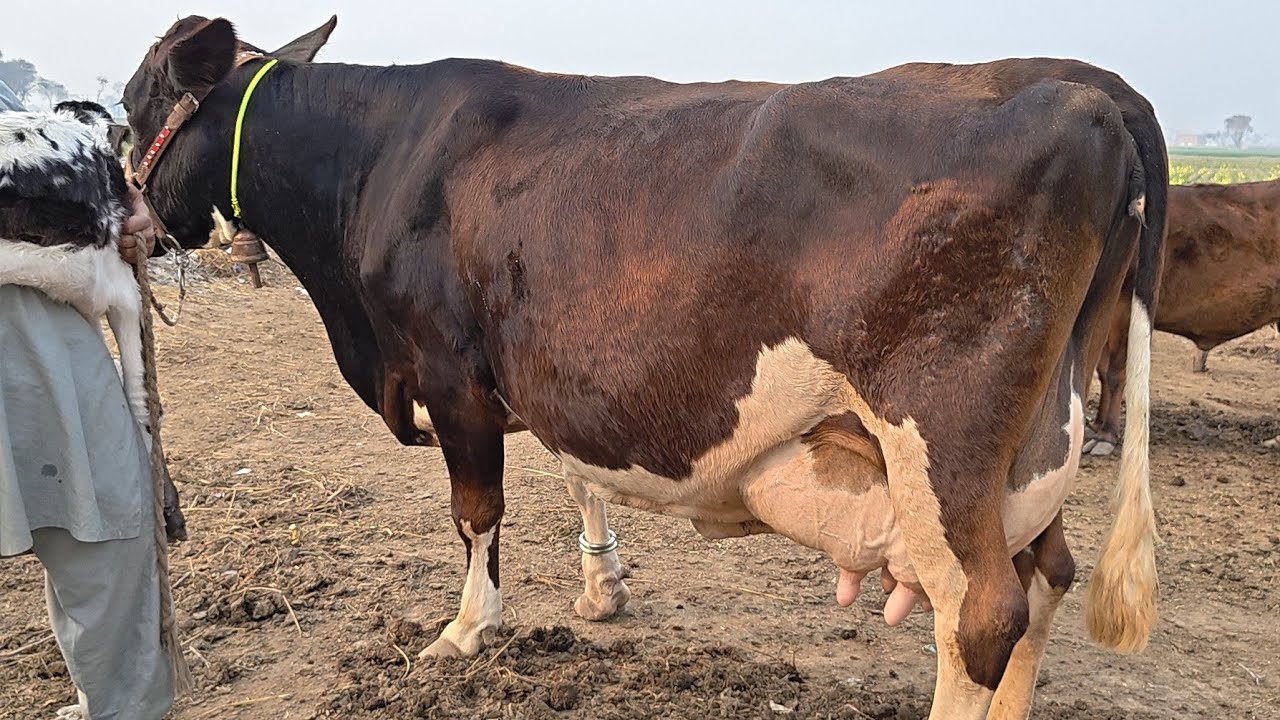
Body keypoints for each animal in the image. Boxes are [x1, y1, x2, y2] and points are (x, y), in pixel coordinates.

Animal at [122, 16, 1166, 719]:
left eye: (133, 109)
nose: (129, 218)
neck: (374, 160)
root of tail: (1090, 91)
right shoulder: (548, 367)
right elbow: (575, 470)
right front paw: (601, 589)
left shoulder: (452, 374)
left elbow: (477, 512)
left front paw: (465, 631)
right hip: (1035, 442)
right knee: (1047, 576)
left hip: (943, 436)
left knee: (980, 615)